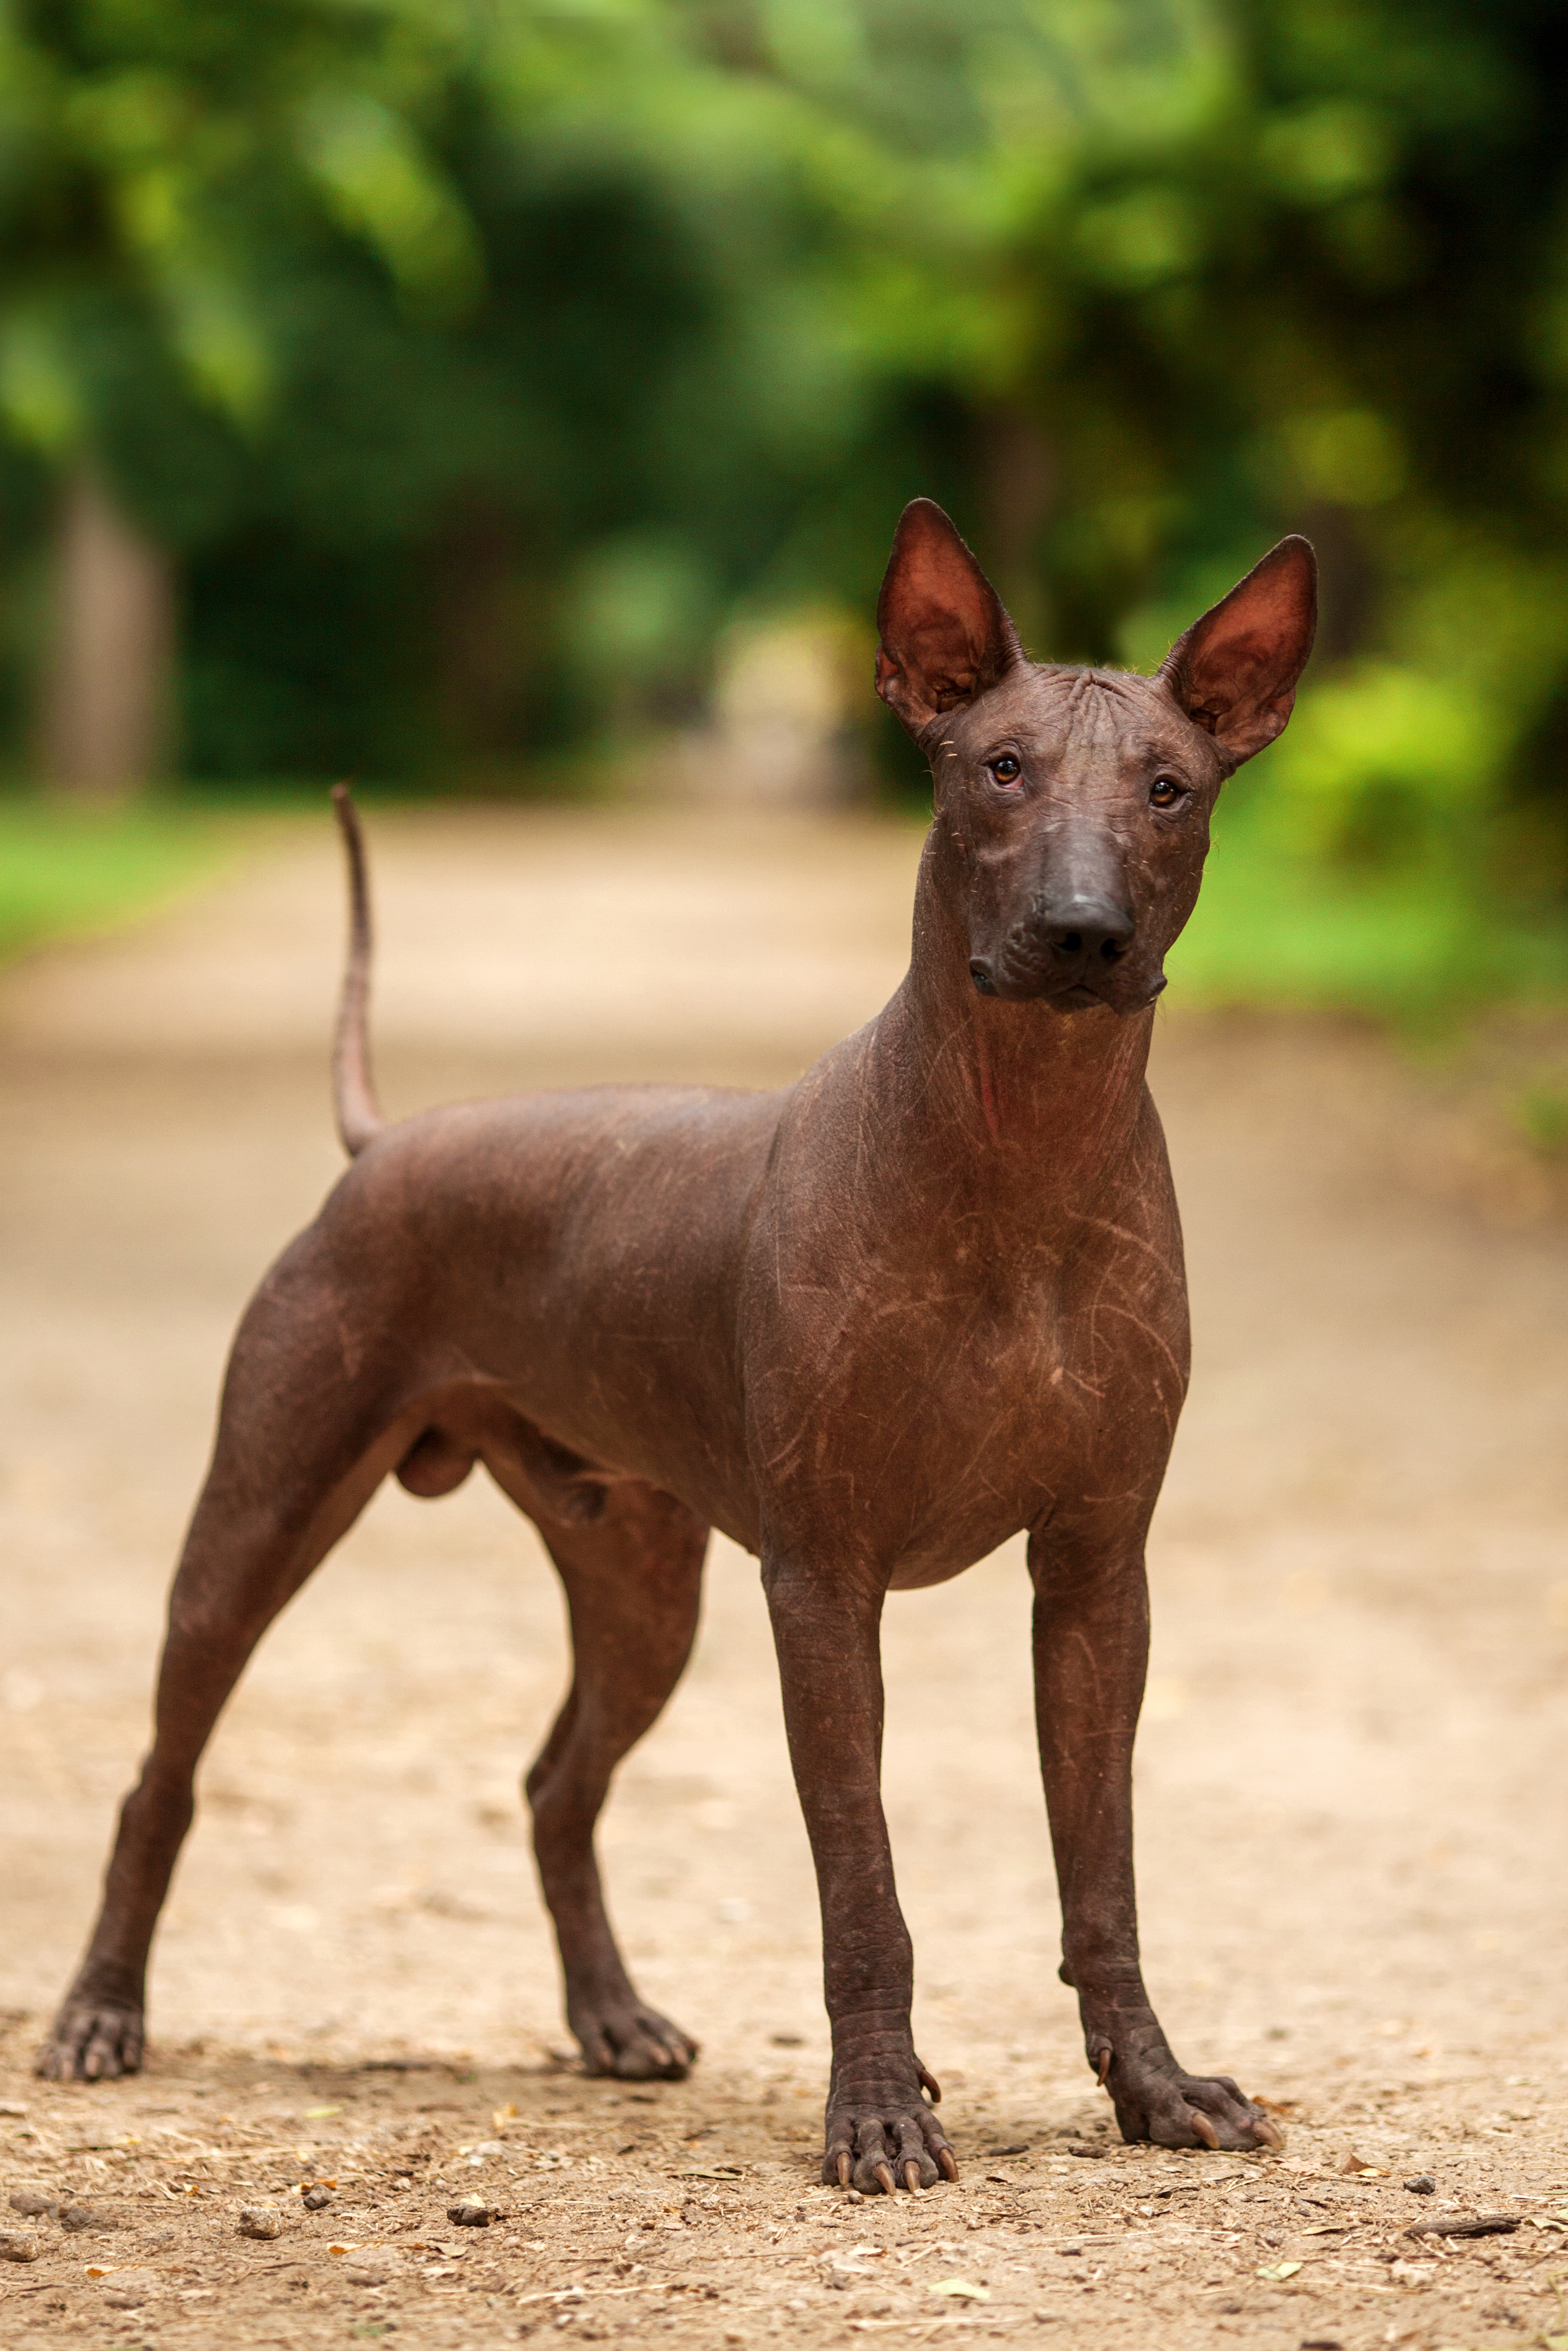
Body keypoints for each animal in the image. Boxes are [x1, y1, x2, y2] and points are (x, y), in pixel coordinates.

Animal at [33, 496, 1316, 2181]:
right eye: (999, 767)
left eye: (1168, 787)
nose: (1081, 932)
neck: (1021, 1156)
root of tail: (384, 1142)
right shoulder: (822, 1584)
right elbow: (861, 1883)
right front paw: (879, 2109)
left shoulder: (1099, 1575)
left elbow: (1102, 1874)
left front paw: (1152, 2086)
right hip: (258, 1515)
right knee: (160, 1777)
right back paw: (99, 2013)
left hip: (640, 1583)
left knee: (552, 1788)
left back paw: (612, 2017)